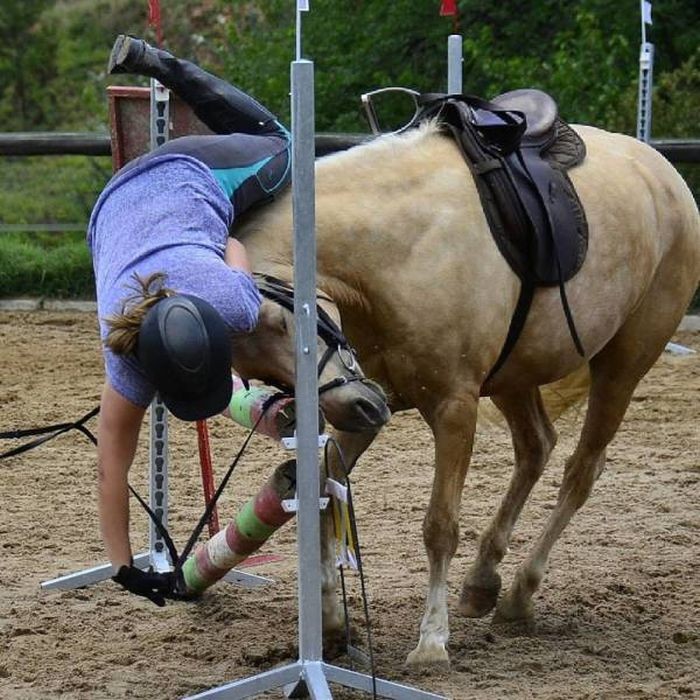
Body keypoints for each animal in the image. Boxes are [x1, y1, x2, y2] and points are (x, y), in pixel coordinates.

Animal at [232, 117, 696, 664]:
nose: (365, 407)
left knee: (581, 471)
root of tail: (662, 171)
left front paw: (432, 640)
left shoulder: (453, 407)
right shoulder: (359, 401)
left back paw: (519, 591)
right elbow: (322, 496)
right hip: (514, 376)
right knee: (536, 446)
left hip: (622, 369)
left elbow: (440, 526)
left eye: (281, 321)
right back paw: (482, 580)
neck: (397, 251)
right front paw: (329, 622)